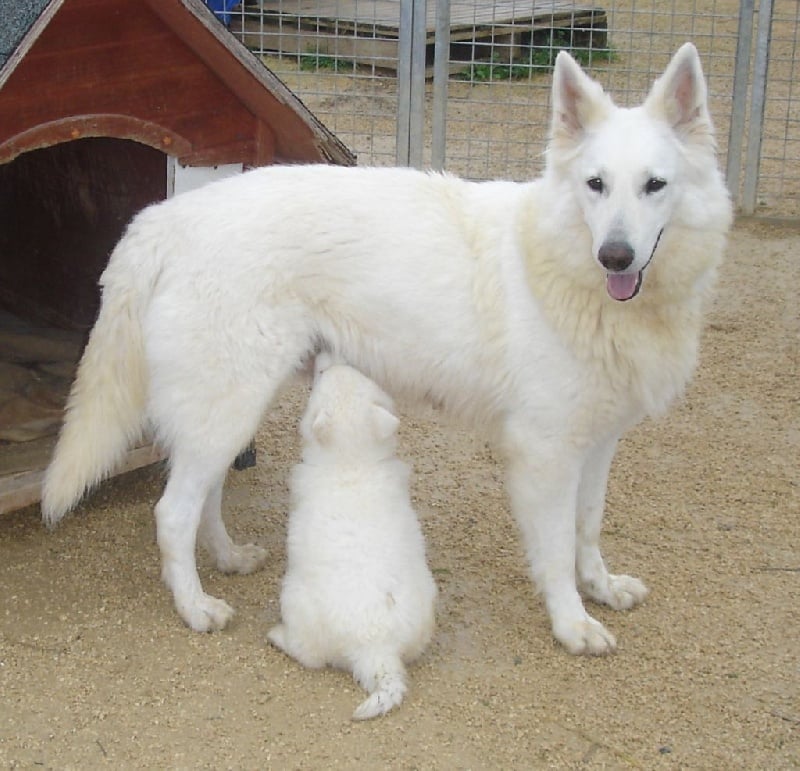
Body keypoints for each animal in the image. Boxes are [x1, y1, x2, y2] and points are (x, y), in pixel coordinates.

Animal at [42, 42, 732, 656]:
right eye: (596, 184)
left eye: (654, 185)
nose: (615, 255)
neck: (561, 266)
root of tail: (165, 218)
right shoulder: (546, 454)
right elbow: (558, 551)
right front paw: (572, 624)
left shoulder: (597, 444)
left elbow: (587, 529)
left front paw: (602, 588)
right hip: (228, 406)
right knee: (172, 513)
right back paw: (195, 608)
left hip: (228, 412)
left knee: (203, 496)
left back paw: (230, 557)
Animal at [266, 358, 434, 720]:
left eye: (320, 376)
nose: (330, 359)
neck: (353, 462)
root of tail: (376, 649)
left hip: (294, 602)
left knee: (308, 655)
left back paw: (277, 635)